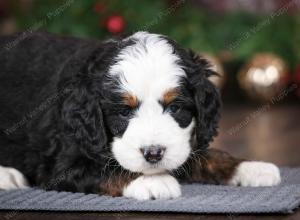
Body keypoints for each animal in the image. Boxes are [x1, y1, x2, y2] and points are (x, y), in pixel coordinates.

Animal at [0, 31, 282, 200]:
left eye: (175, 108)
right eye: (124, 112)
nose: (154, 153)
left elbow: (206, 155)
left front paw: (250, 167)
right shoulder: (62, 165)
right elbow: (106, 169)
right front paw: (152, 182)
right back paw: (8, 176)